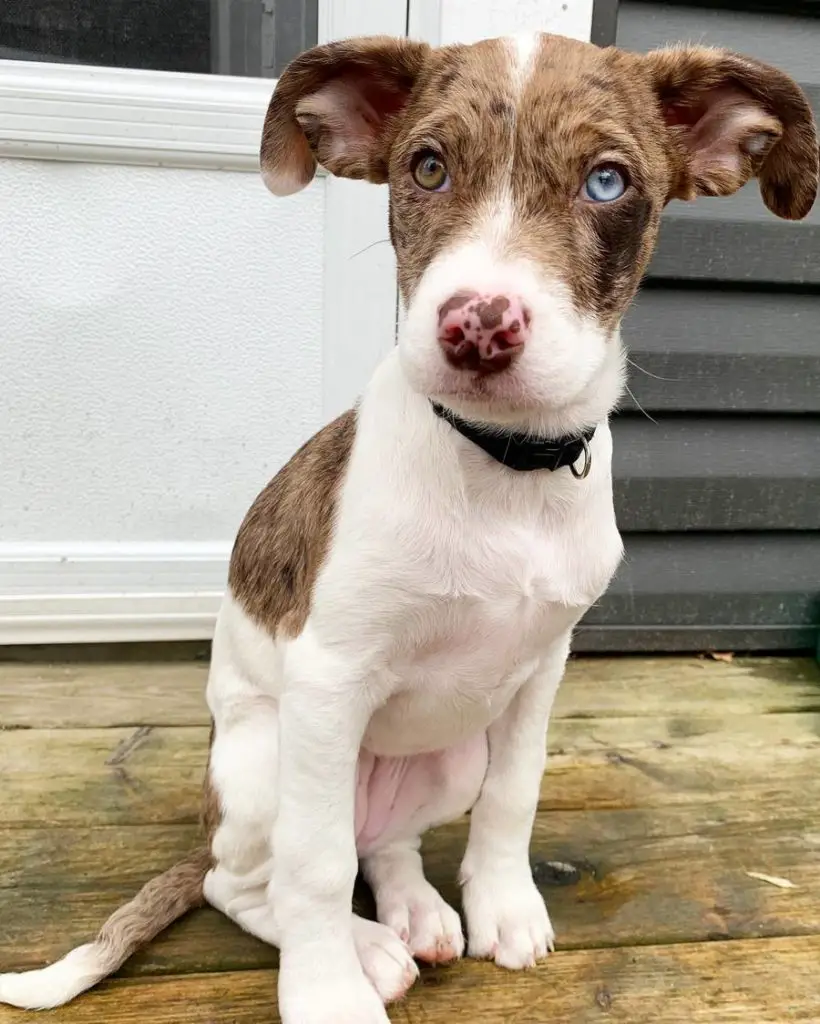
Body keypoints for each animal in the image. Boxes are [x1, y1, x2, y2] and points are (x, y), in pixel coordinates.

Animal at [3, 32, 814, 1024]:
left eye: (607, 182)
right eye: (427, 168)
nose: (478, 326)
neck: (505, 468)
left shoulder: (543, 669)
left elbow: (515, 795)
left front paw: (504, 903)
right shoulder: (329, 676)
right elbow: (314, 869)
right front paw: (324, 995)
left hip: (446, 756)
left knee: (381, 843)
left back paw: (413, 916)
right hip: (265, 762)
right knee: (258, 880)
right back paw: (361, 952)